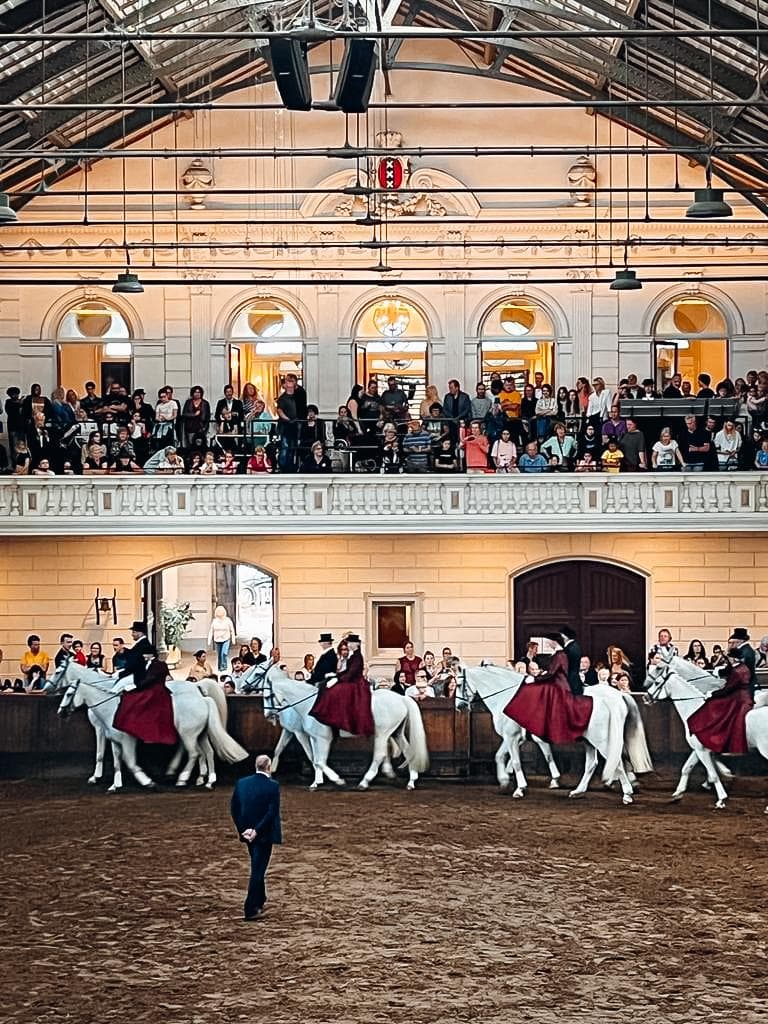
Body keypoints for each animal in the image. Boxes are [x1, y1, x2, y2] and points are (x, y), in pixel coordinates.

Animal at [50, 655, 246, 790]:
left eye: (59, 671)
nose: (60, 712)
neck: (110, 704)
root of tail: (200, 694)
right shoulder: (111, 735)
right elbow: (115, 759)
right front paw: (114, 783)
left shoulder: (110, 732)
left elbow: (117, 757)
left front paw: (142, 781)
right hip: (198, 733)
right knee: (206, 751)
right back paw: (204, 779)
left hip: (188, 733)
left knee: (194, 753)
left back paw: (183, 778)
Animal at [249, 663, 430, 790]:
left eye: (267, 695)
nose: (268, 714)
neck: (308, 702)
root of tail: (401, 698)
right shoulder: (313, 737)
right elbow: (316, 759)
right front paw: (316, 782)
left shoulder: (321, 738)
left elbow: (319, 761)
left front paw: (337, 780)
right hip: (395, 732)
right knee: (408, 751)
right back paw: (411, 781)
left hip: (382, 733)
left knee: (379, 755)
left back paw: (364, 782)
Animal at [460, 659, 638, 802]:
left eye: (460, 683)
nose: (459, 705)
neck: (508, 696)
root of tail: (618, 697)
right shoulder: (515, 737)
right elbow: (505, 756)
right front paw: (505, 780)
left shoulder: (512, 736)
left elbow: (516, 761)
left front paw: (519, 788)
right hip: (590, 740)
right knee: (593, 764)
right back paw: (579, 791)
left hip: (603, 739)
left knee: (617, 761)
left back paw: (627, 793)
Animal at [643, 651, 768, 811]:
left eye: (658, 671)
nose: (645, 696)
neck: (694, 707)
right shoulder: (698, 748)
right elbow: (687, 767)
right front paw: (677, 794)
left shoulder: (702, 750)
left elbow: (713, 773)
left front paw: (721, 799)